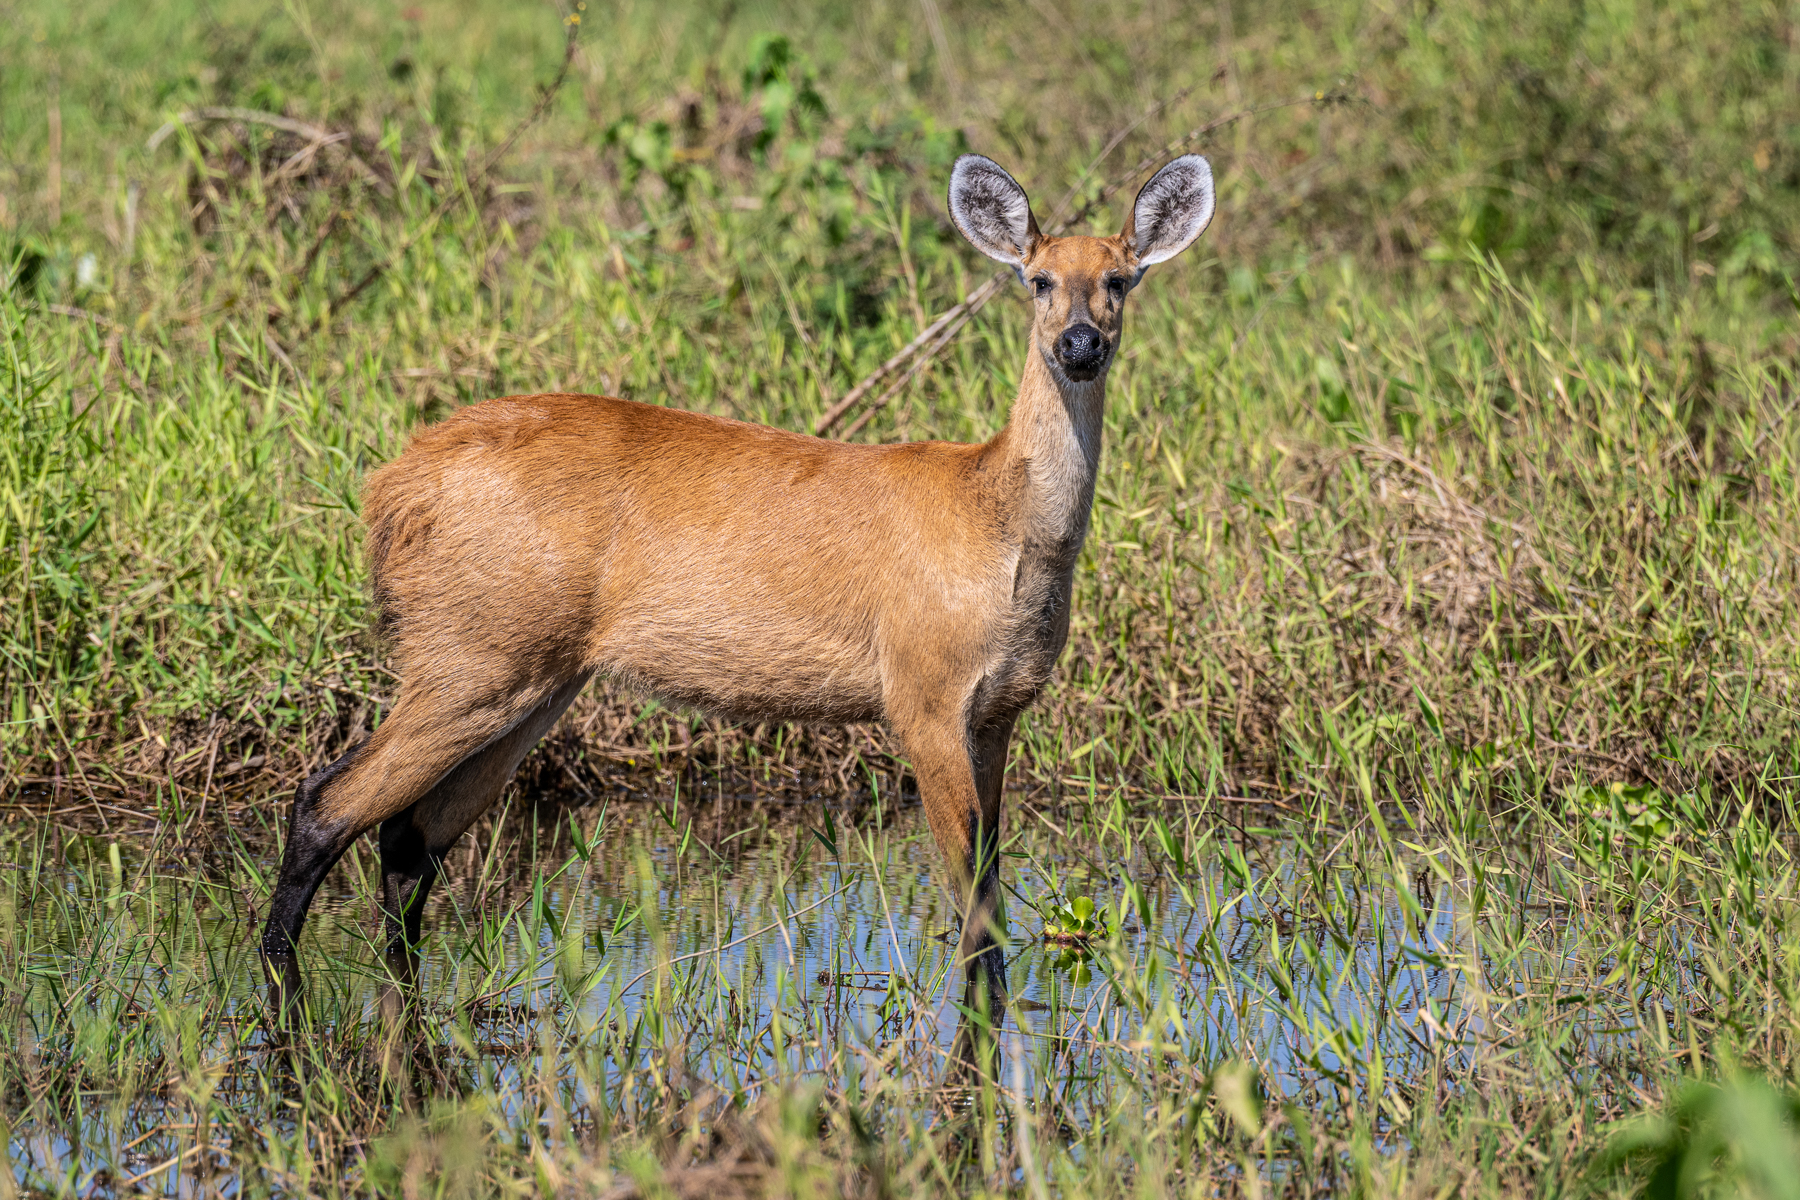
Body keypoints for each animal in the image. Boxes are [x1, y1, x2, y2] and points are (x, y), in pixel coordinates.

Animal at [259, 152, 1215, 1035]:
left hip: (527, 679)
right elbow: (972, 910)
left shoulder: (998, 710)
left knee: (408, 839)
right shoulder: (922, 694)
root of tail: (391, 489)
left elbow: (987, 881)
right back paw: (278, 990)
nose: (1080, 346)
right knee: (325, 803)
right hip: (472, 657)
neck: (1002, 524)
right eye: (1039, 278)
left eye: (1120, 278)